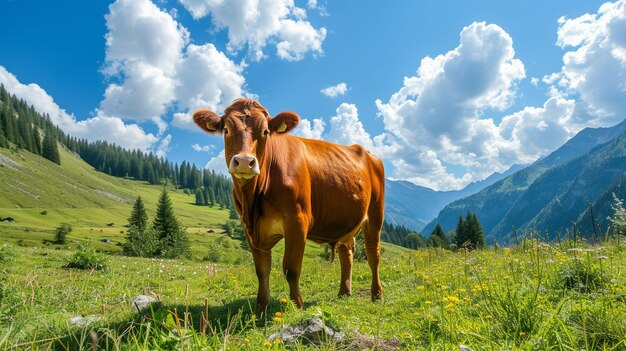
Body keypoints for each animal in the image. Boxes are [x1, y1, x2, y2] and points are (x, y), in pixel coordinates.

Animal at [193, 98, 382, 316]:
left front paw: (297, 305)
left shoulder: (297, 221)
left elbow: (291, 268)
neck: (254, 200)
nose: (244, 162)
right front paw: (261, 308)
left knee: (373, 254)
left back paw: (377, 295)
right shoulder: (249, 228)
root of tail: (366, 152)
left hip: (375, 214)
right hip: (347, 221)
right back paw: (344, 292)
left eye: (265, 131)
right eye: (226, 130)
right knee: (347, 252)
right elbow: (262, 270)